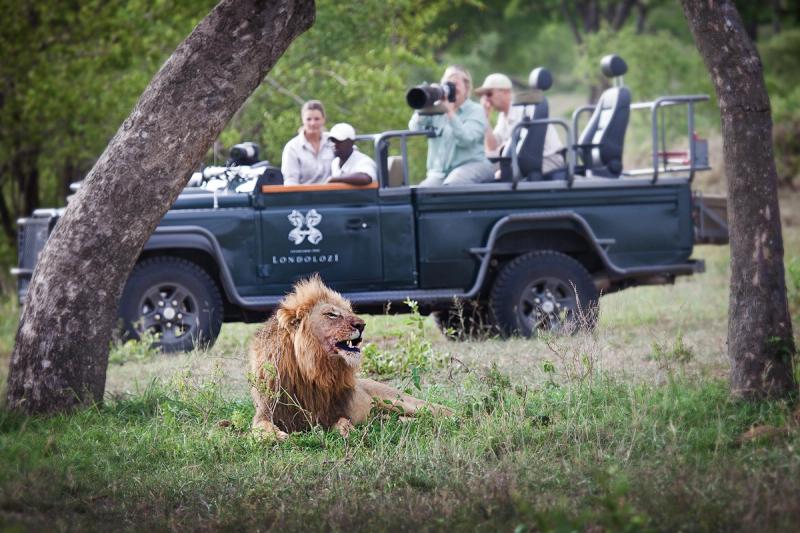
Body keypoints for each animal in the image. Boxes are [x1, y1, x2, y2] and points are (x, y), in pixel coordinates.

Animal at [249, 275, 452, 439]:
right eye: (332, 314)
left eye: (349, 312)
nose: (362, 324)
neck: (313, 368)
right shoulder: (266, 412)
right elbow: (261, 427)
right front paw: (276, 437)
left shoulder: (331, 412)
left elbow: (342, 421)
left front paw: (349, 432)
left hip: (402, 401)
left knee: (440, 410)